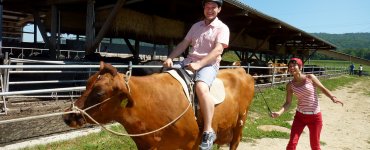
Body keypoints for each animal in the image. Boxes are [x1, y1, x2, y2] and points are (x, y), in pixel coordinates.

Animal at [63, 61, 254, 149]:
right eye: (87, 84)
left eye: (99, 93)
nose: (67, 115)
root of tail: (241, 71)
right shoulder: (145, 145)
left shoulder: (190, 144)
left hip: (240, 121)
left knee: (235, 142)